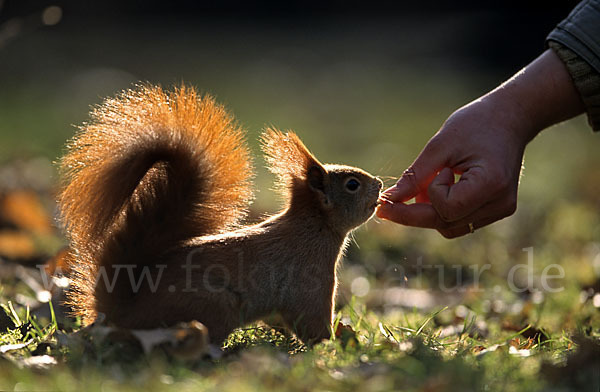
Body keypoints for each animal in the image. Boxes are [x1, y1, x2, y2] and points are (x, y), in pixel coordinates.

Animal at [58, 85, 382, 344]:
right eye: (352, 184)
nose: (379, 184)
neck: (313, 227)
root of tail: (122, 313)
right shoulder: (308, 280)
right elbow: (311, 323)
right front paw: (335, 346)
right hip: (214, 307)